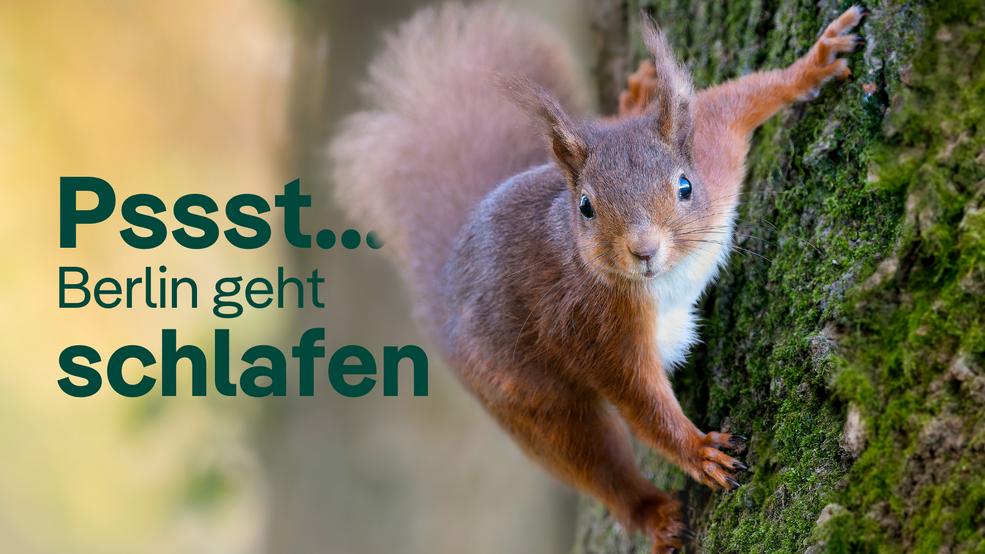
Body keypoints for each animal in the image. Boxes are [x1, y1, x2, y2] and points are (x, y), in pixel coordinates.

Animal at [331, 4, 867, 551]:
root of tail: (446, 291)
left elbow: (744, 95)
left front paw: (816, 62)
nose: (644, 250)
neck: (668, 275)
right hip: (528, 400)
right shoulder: (593, 327)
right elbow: (642, 401)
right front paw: (699, 451)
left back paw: (632, 99)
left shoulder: (715, 145)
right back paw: (655, 516)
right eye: (586, 207)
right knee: (594, 463)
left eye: (685, 186)